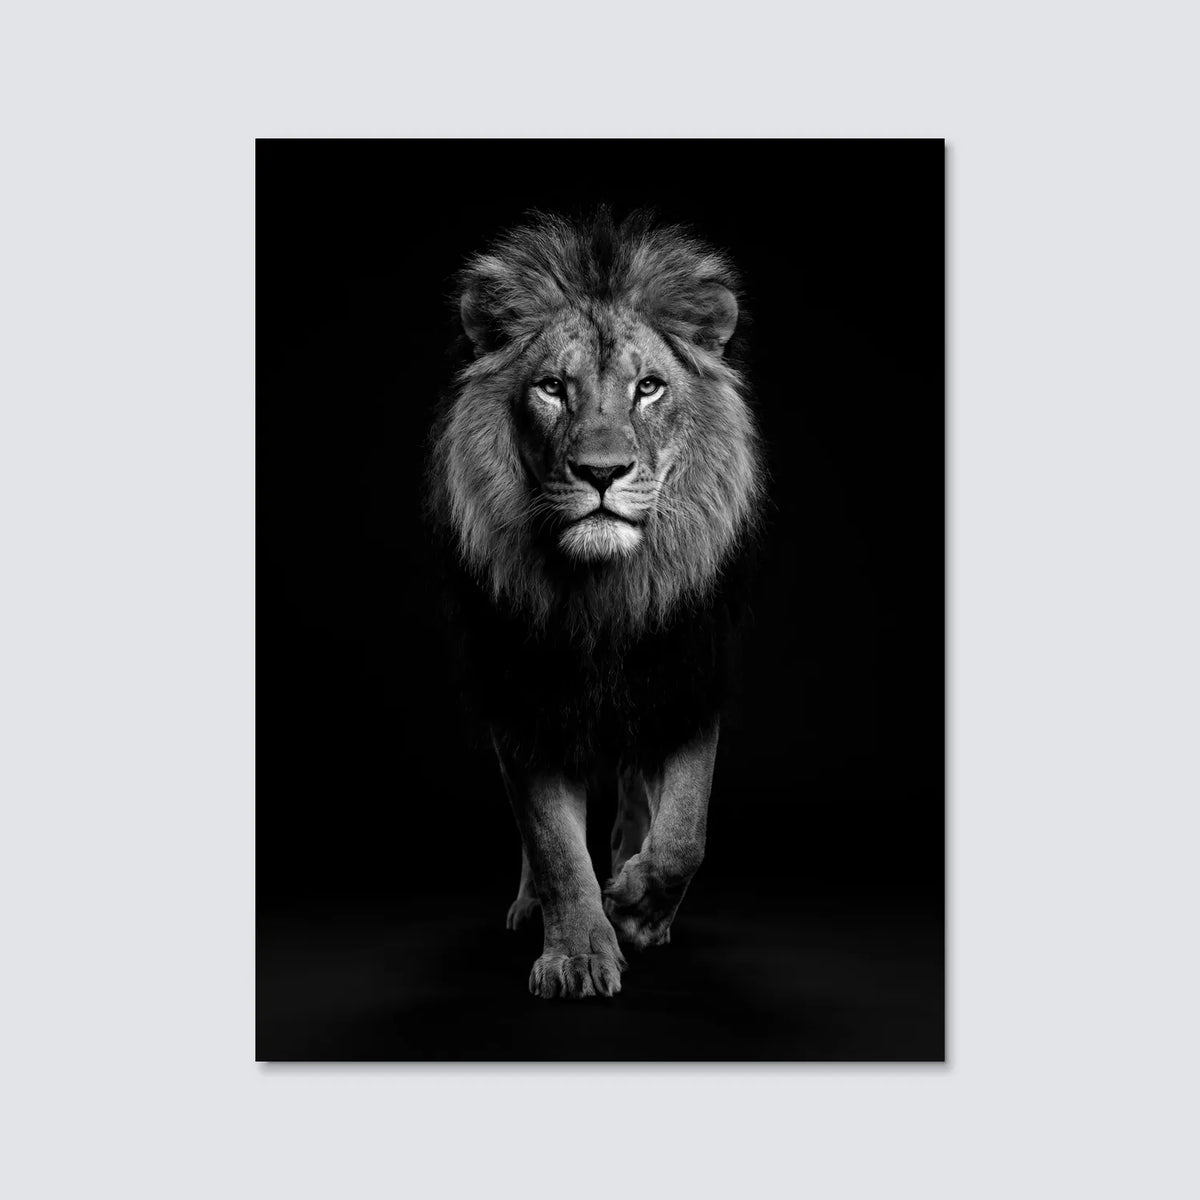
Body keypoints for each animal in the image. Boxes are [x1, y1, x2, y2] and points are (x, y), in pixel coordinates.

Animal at [428, 209, 764, 999]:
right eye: (552, 387)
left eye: (649, 388)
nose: (602, 472)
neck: (602, 596)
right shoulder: (525, 701)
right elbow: (552, 842)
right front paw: (579, 951)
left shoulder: (686, 679)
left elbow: (685, 832)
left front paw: (637, 907)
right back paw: (534, 906)